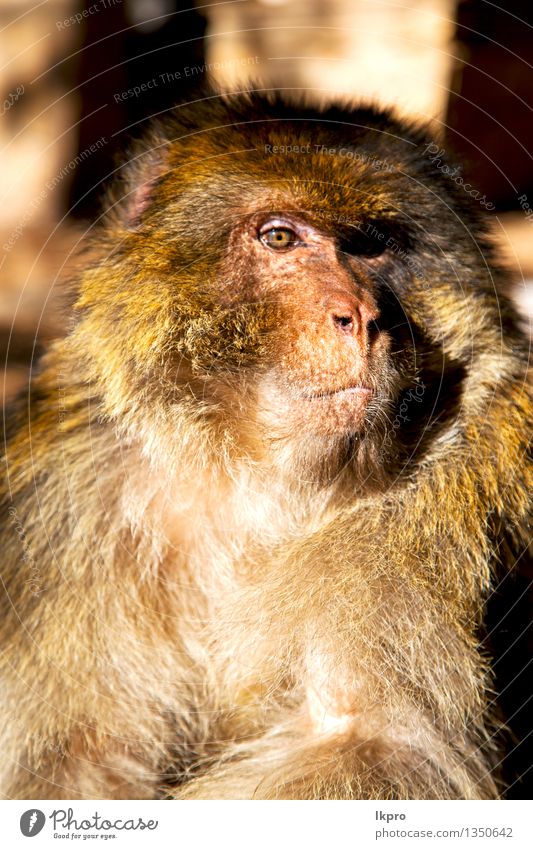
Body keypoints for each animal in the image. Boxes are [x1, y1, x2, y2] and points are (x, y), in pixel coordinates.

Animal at [0, 93, 528, 800]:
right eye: (280, 237)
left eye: (373, 245)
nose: (363, 318)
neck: (257, 482)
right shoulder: (63, 503)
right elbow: (70, 760)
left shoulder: (431, 515)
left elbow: (378, 747)